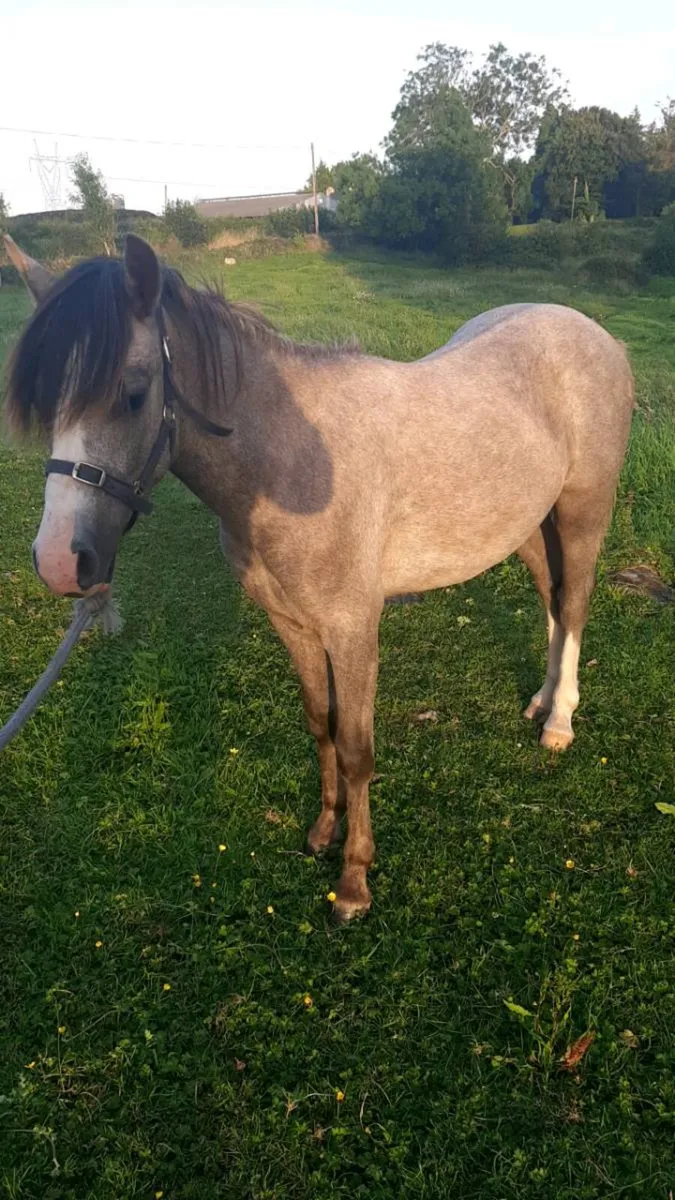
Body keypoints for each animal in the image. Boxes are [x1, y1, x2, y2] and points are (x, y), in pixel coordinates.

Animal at [3, 234, 634, 922]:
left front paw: (354, 880)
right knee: (553, 600)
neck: (289, 463)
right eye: (49, 404)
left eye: (134, 393)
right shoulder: (294, 624)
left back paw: (559, 722)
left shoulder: (353, 628)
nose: (60, 562)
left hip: (582, 510)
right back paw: (542, 701)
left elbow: (357, 749)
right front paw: (323, 830)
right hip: (525, 524)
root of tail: (594, 333)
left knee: (574, 605)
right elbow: (319, 722)